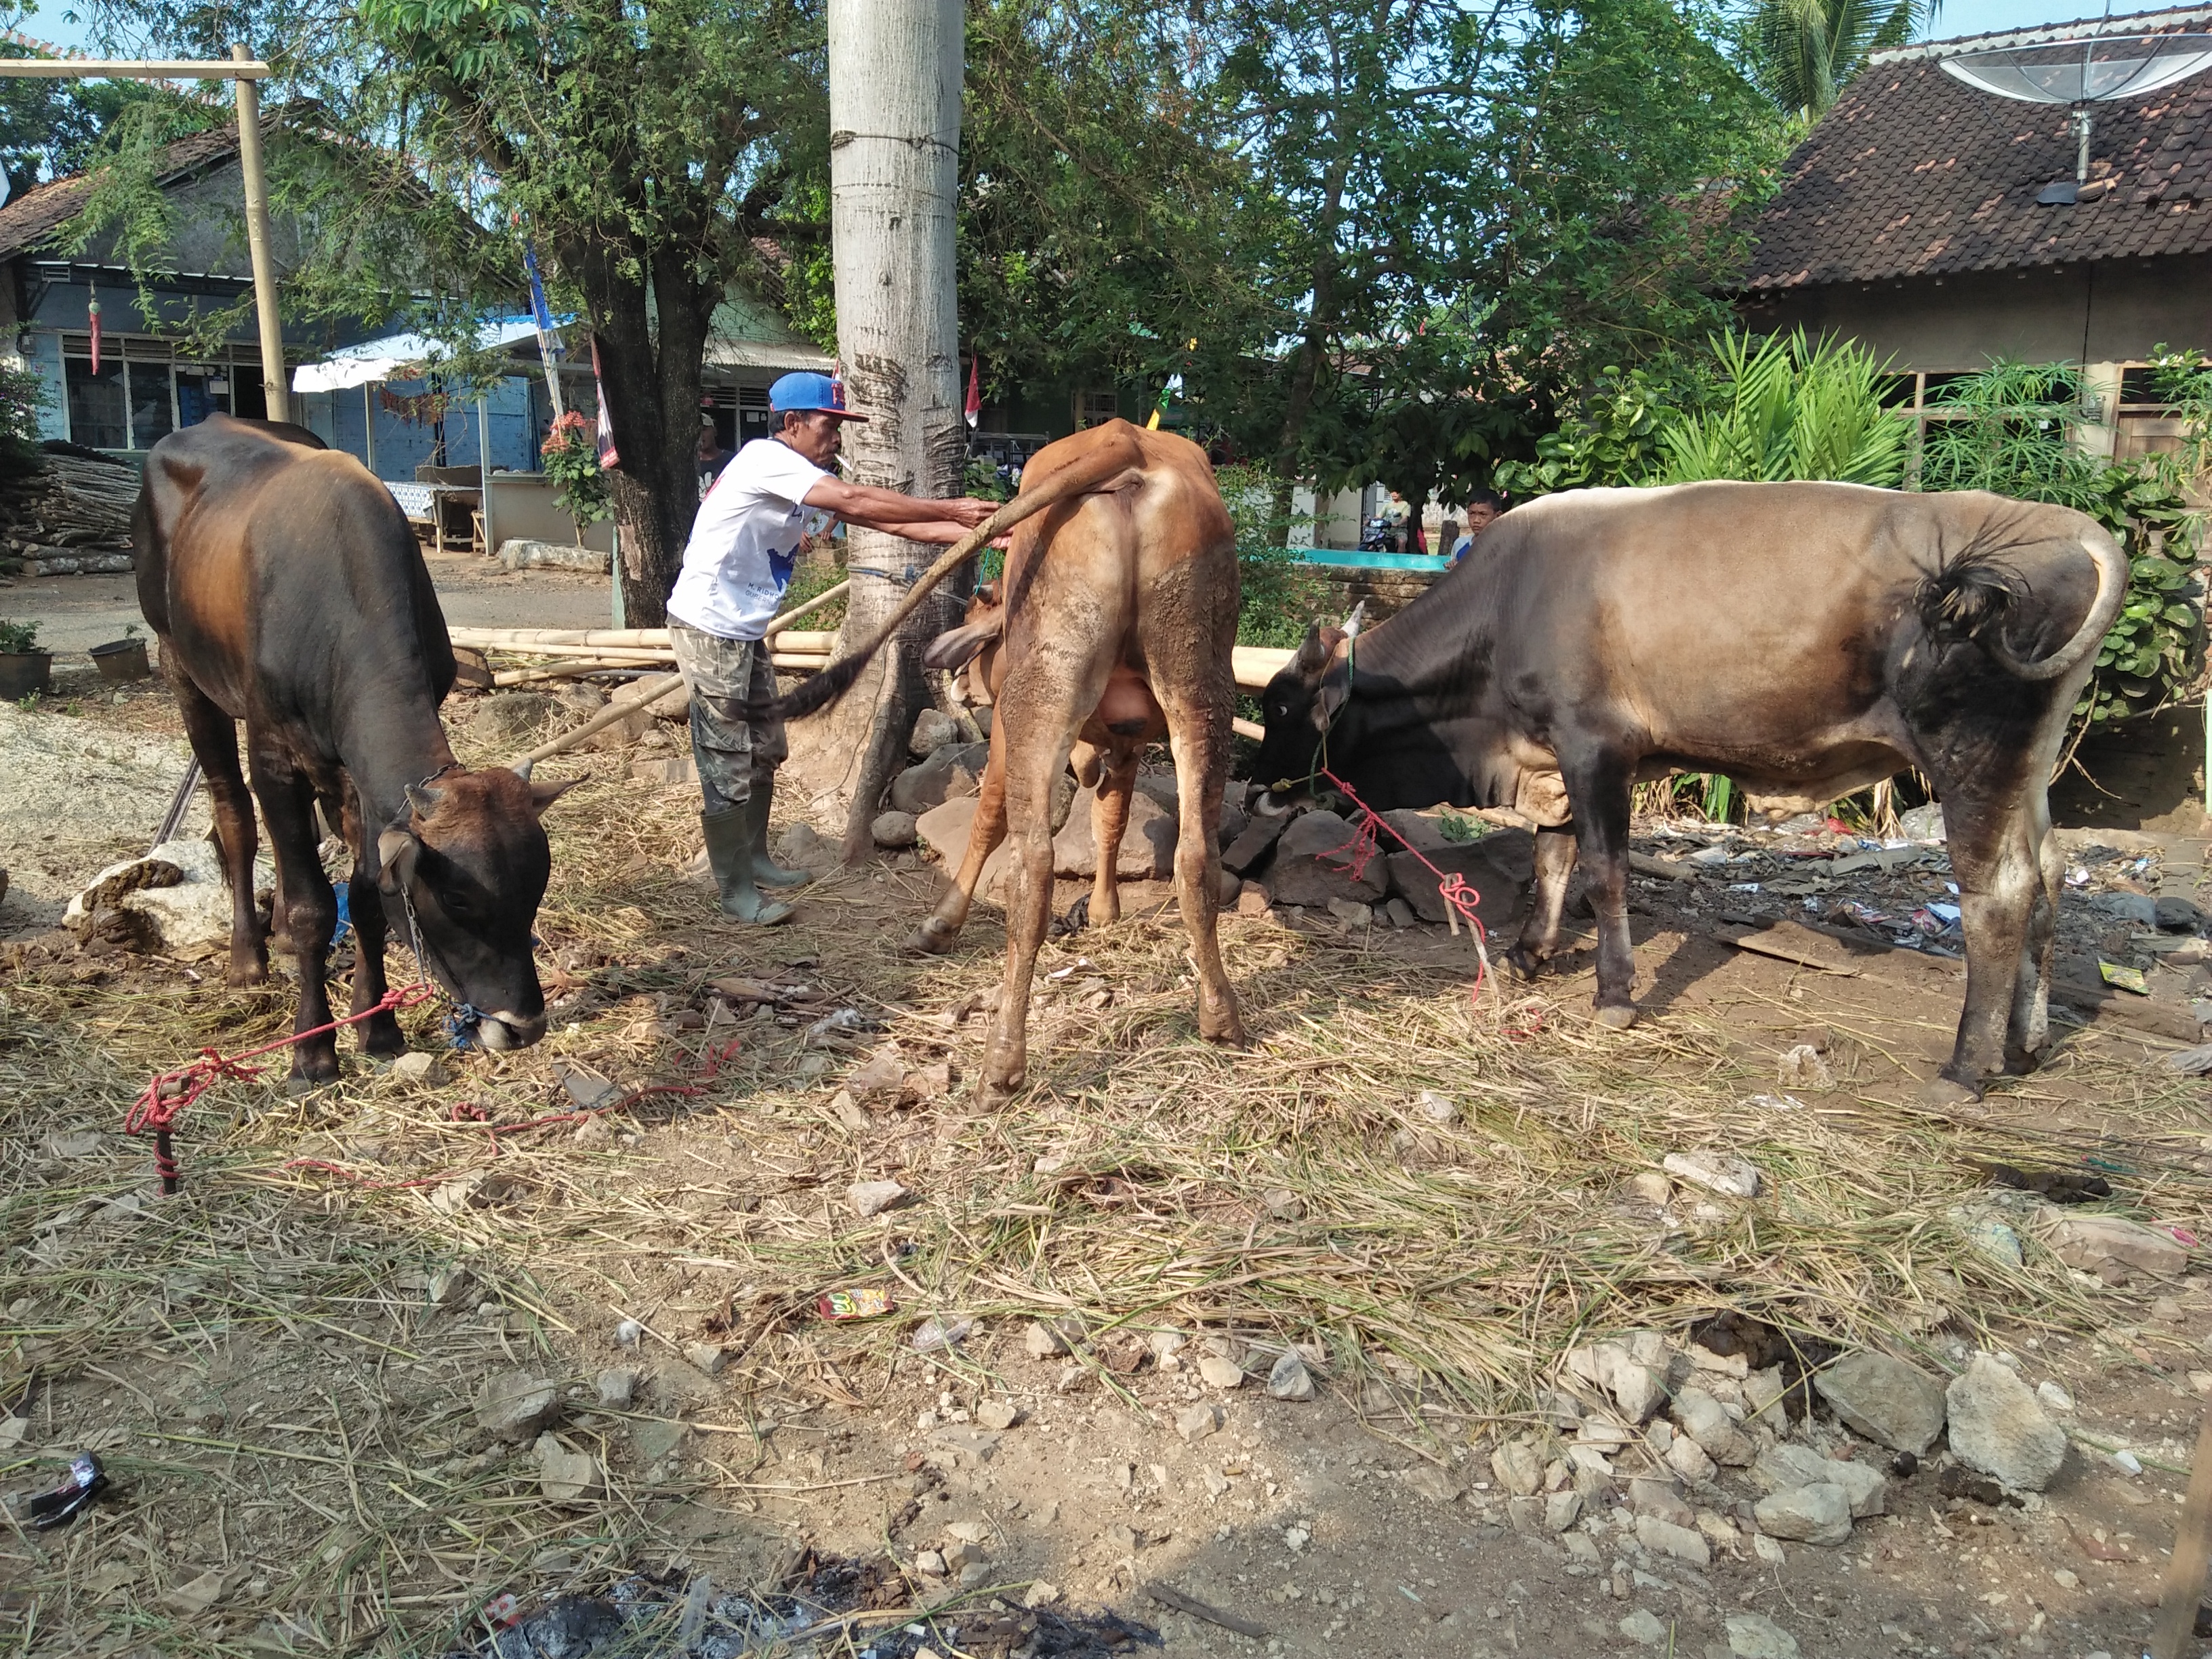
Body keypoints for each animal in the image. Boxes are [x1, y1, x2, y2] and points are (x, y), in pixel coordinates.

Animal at [134, 415, 575, 1084]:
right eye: (457, 898)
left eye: (537, 887)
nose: (523, 1027)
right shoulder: (273, 754)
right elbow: (315, 905)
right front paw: (312, 1049)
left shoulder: (369, 784)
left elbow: (366, 894)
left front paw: (379, 1026)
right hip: (179, 665)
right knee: (234, 816)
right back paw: (249, 959)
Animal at [769, 422, 1247, 1106]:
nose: (961, 682)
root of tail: (1127, 443)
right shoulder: (1127, 742)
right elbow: (1110, 819)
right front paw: (1105, 912)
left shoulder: (1004, 738)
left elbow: (988, 818)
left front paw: (941, 925)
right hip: (1200, 688)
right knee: (1196, 856)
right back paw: (1221, 1017)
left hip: (1037, 698)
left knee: (1032, 869)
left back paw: (1001, 1062)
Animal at [1247, 480, 2123, 1106]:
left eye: (1285, 708)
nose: (1253, 791)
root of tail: (2071, 526)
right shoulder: (1557, 759)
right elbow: (1552, 860)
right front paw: (1530, 955)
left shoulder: (1596, 747)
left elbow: (1603, 874)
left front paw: (1614, 994)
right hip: (2028, 772)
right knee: (2048, 881)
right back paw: (2026, 1043)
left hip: (1972, 755)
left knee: (1998, 896)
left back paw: (1966, 1066)